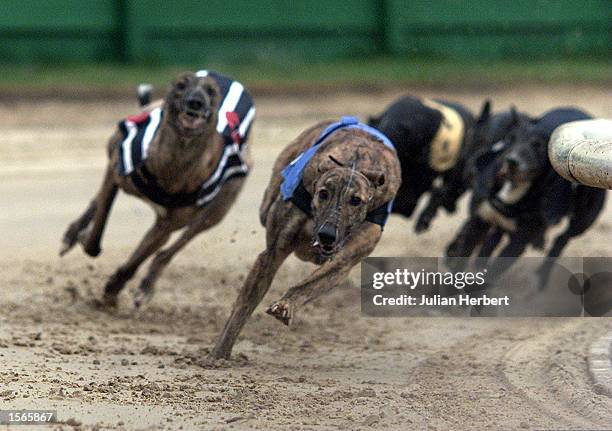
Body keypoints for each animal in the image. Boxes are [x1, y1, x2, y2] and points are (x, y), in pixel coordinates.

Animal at [60, 71, 256, 308]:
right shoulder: (116, 169)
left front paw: (113, 288)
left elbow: (138, 258)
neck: (171, 168)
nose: (196, 102)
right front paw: (83, 236)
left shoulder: (167, 224)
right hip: (116, 145)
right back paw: (72, 234)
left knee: (171, 249)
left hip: (218, 208)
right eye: (181, 85)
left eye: (211, 91)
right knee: (97, 202)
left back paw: (146, 286)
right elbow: (97, 230)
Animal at [210, 116, 402, 360]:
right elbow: (245, 302)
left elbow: (314, 282)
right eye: (323, 193)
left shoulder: (344, 259)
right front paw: (218, 354)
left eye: (356, 200)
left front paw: (286, 305)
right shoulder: (273, 251)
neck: (355, 163)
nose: (327, 235)